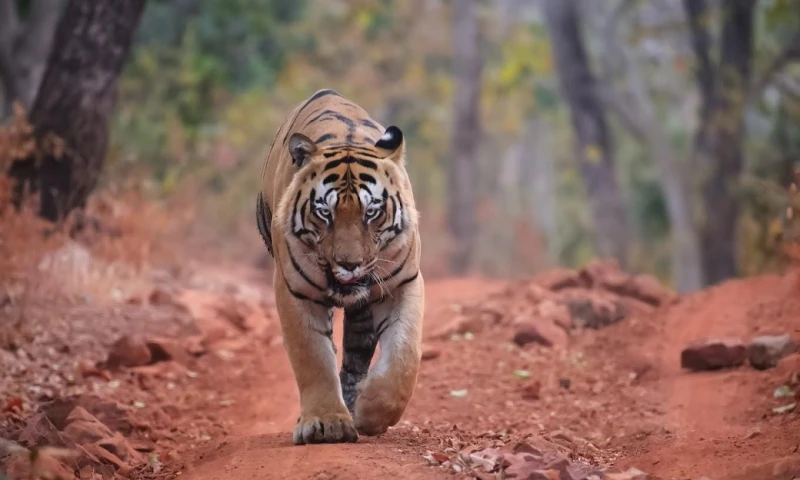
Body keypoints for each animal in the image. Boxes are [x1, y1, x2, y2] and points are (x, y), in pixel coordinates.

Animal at [256, 89, 424, 445]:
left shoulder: (403, 283)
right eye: (325, 213)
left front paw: (372, 412)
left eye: (372, 212)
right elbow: (312, 357)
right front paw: (326, 424)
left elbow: (404, 355)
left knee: (356, 355)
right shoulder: (295, 291)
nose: (349, 264)